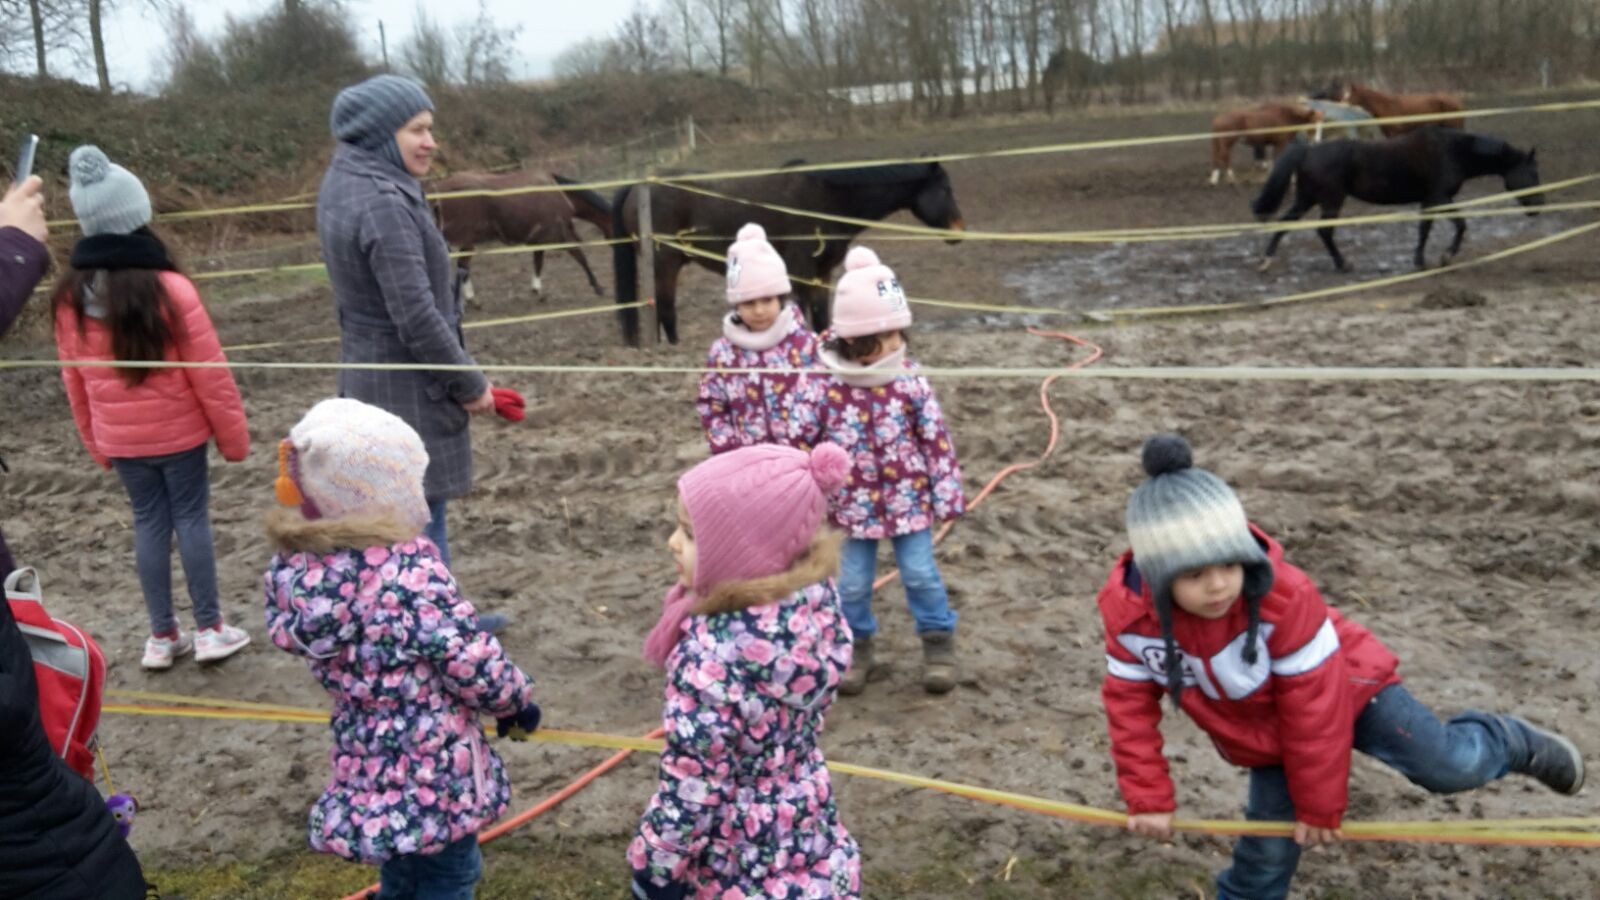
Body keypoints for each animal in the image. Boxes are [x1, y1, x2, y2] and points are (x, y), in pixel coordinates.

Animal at [428, 169, 608, 302]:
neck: (559, 194)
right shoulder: (561, 235)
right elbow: (580, 257)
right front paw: (597, 286)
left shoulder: (539, 240)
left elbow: (538, 262)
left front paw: (536, 289)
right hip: (465, 240)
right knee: (461, 266)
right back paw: (471, 299)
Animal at [608, 160, 960, 342]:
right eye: (944, 188)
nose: (958, 229)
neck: (827, 197)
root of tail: (639, 186)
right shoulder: (801, 270)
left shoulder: (821, 273)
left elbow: (820, 316)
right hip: (665, 262)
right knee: (666, 310)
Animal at [1254, 127, 1542, 269]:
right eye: (1532, 173)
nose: (1538, 207)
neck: (1452, 151)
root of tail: (1308, 151)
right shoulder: (1439, 198)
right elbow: (1456, 226)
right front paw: (1442, 257)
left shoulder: (1432, 200)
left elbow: (1427, 228)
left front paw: (1423, 259)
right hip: (1330, 201)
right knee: (1324, 232)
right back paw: (1343, 264)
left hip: (1307, 199)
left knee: (1285, 223)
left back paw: (1266, 261)